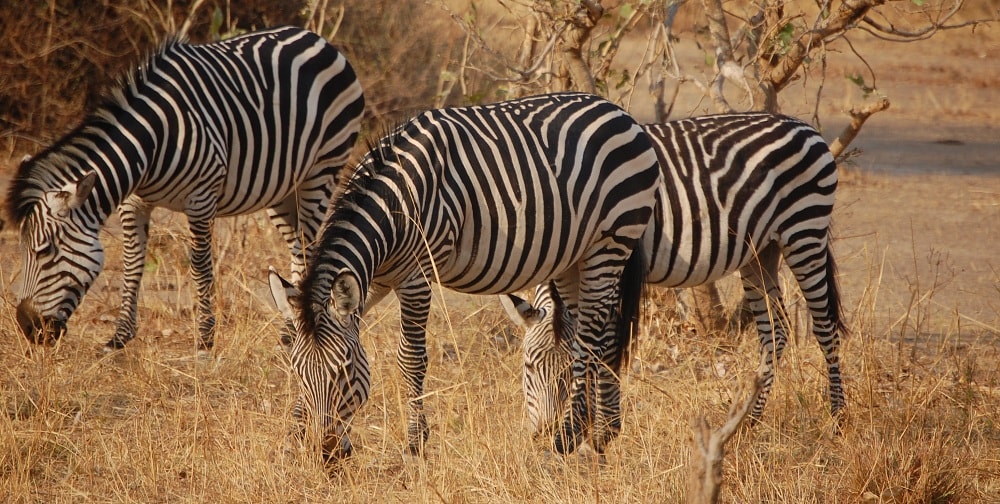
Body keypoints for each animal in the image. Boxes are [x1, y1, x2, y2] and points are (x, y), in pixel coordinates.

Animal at [5, 26, 366, 350]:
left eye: (44, 251)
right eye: (23, 250)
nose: (28, 328)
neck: (149, 145)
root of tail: (318, 39)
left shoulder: (201, 198)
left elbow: (200, 267)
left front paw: (205, 339)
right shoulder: (133, 202)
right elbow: (132, 263)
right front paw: (120, 337)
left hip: (322, 171)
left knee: (309, 246)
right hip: (283, 189)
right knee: (296, 246)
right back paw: (290, 330)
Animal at [266, 91, 660, 460]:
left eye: (345, 371)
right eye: (298, 373)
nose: (326, 451)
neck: (395, 207)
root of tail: (618, 111)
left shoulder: (416, 276)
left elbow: (411, 358)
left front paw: (415, 444)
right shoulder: (374, 279)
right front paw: (293, 436)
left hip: (609, 243)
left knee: (591, 338)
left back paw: (571, 434)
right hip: (573, 258)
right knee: (599, 332)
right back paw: (601, 432)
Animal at [504, 112, 848, 440]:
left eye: (565, 372)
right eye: (529, 366)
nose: (544, 432)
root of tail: (802, 126)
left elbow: (604, 346)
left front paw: (598, 428)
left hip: (804, 231)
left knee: (825, 327)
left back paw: (836, 420)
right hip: (761, 251)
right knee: (775, 333)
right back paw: (749, 423)